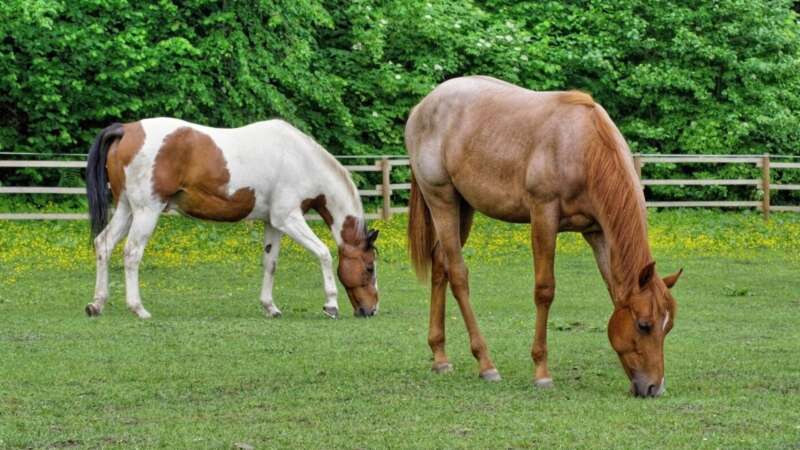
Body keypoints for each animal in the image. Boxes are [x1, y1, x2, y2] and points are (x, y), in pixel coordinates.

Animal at [86, 116, 380, 320]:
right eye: (369, 268)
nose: (372, 309)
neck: (300, 160)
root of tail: (127, 129)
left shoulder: (273, 223)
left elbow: (270, 263)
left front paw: (270, 307)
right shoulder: (288, 219)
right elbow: (323, 254)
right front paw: (331, 304)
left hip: (126, 209)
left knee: (103, 244)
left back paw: (97, 304)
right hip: (147, 211)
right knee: (132, 253)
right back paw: (138, 309)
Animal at [410, 76, 684, 398]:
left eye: (668, 326)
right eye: (643, 325)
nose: (654, 387)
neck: (582, 148)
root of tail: (424, 105)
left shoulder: (598, 232)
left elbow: (611, 287)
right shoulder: (543, 216)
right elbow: (544, 290)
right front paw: (541, 371)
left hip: (463, 207)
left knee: (440, 265)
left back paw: (440, 356)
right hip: (441, 199)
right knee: (457, 275)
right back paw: (486, 363)